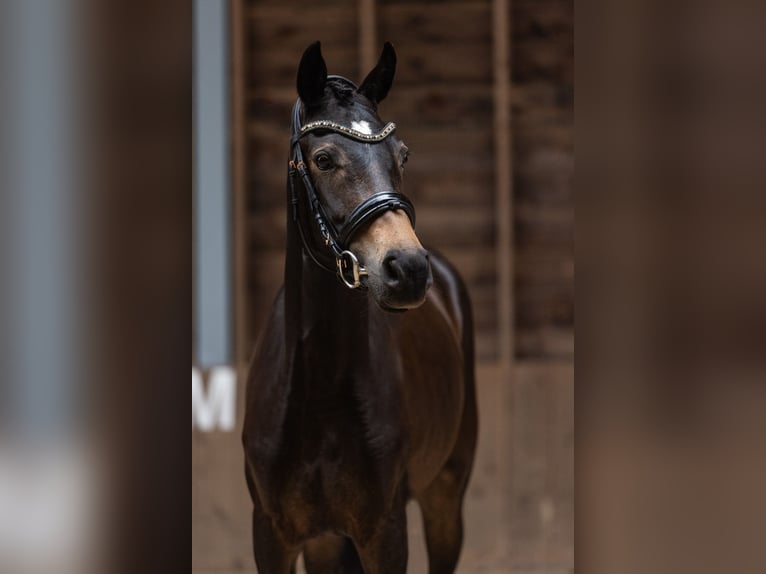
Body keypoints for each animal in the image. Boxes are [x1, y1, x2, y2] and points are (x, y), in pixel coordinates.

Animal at [242, 41, 478, 574]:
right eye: (324, 158)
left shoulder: (384, 531)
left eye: (403, 154)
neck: (317, 390)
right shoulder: (273, 534)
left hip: (444, 500)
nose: (408, 269)